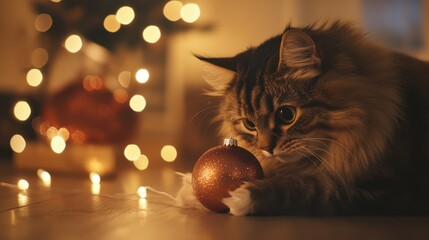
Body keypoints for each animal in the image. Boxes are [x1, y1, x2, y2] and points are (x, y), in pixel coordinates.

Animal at [176, 22, 428, 216]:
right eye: (249, 123)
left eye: (286, 115)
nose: (266, 148)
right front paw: (194, 190)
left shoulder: (382, 187)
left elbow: (310, 186)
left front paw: (243, 195)